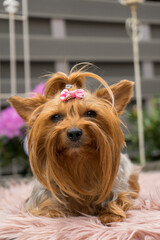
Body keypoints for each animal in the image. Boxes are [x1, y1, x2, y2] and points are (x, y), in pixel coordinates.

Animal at [8, 65, 139, 223]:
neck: (78, 162)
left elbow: (118, 199)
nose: (74, 132)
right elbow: (47, 209)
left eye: (91, 113)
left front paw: (110, 213)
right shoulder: (42, 199)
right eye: (56, 117)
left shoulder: (117, 187)